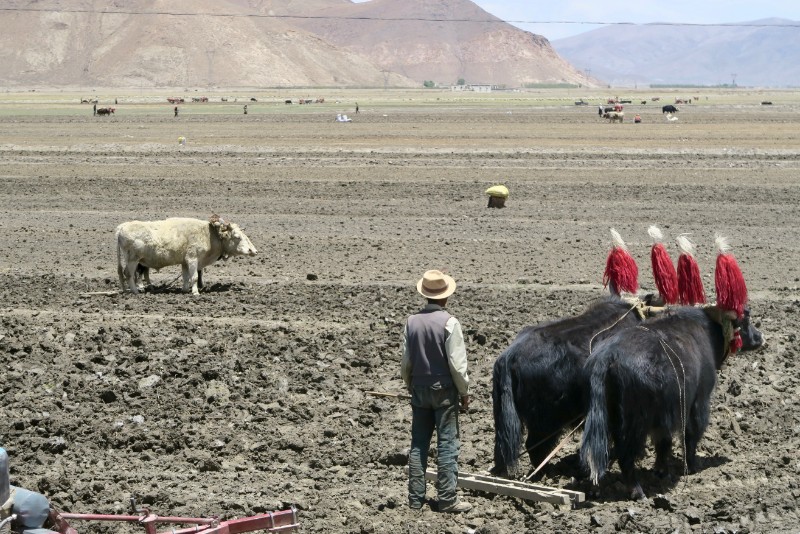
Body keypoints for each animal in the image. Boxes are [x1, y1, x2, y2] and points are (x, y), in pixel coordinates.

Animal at [116, 216, 256, 296]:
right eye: (237, 237)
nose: (253, 250)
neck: (209, 235)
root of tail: (121, 227)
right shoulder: (193, 259)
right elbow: (194, 276)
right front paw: (195, 292)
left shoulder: (184, 262)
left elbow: (185, 277)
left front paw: (184, 289)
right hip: (133, 259)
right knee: (129, 274)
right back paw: (135, 291)